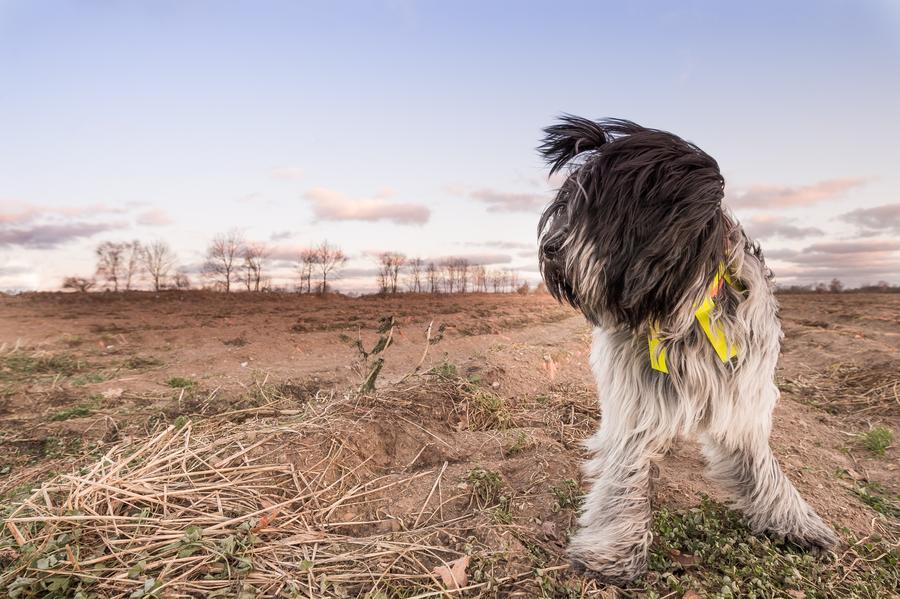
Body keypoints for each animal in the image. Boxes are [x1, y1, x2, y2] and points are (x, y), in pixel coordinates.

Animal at [536, 115, 836, 584]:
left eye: (600, 210)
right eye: (565, 206)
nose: (550, 250)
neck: (684, 312)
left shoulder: (742, 398)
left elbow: (764, 468)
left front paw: (795, 520)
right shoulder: (638, 405)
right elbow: (627, 474)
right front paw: (616, 551)